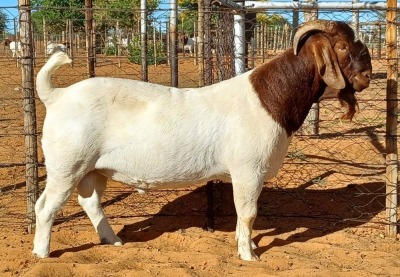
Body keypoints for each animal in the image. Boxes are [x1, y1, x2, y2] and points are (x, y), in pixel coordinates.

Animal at [33, 20, 372, 260]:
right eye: (342, 47)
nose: (367, 75)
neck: (269, 98)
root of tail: (56, 95)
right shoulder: (248, 171)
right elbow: (248, 214)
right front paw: (249, 255)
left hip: (93, 169)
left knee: (89, 201)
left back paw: (113, 240)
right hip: (67, 165)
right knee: (46, 206)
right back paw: (42, 253)